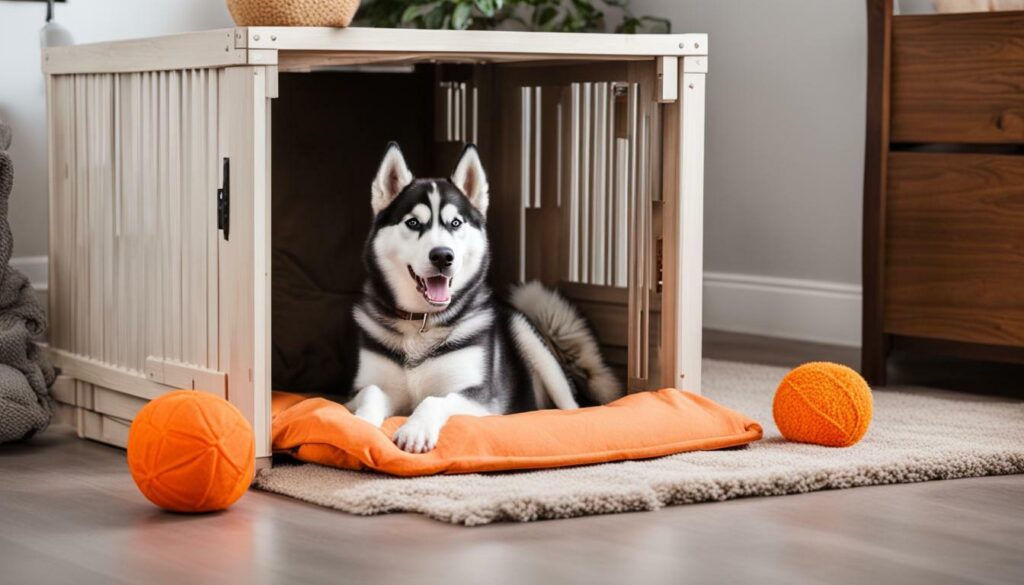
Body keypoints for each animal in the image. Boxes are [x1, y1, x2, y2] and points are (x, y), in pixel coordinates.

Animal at [346, 142, 614, 452]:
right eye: (413, 223)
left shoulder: (482, 399)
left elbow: (434, 399)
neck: (422, 323)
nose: (442, 255)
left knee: (571, 404)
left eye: (455, 223)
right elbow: (371, 393)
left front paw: (415, 429)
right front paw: (360, 424)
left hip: (528, 336)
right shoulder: (366, 388)